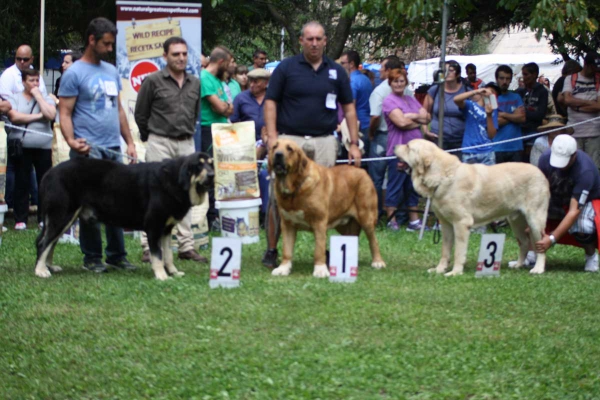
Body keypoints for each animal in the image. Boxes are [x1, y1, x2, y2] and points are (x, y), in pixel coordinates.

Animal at [34, 153, 213, 282]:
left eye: (211, 163)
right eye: (198, 165)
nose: (211, 174)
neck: (174, 180)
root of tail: (49, 173)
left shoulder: (166, 229)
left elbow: (168, 255)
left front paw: (173, 272)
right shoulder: (154, 227)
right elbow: (157, 255)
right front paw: (161, 275)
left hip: (63, 218)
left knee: (50, 242)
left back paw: (49, 266)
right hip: (62, 215)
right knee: (44, 243)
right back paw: (40, 270)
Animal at [396, 140, 552, 276]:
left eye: (408, 146)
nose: (395, 146)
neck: (442, 175)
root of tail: (540, 172)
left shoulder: (461, 223)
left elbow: (458, 252)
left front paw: (455, 272)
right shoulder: (446, 224)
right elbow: (445, 251)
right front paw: (439, 269)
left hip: (535, 220)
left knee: (540, 246)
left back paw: (538, 269)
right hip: (516, 221)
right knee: (525, 243)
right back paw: (518, 265)